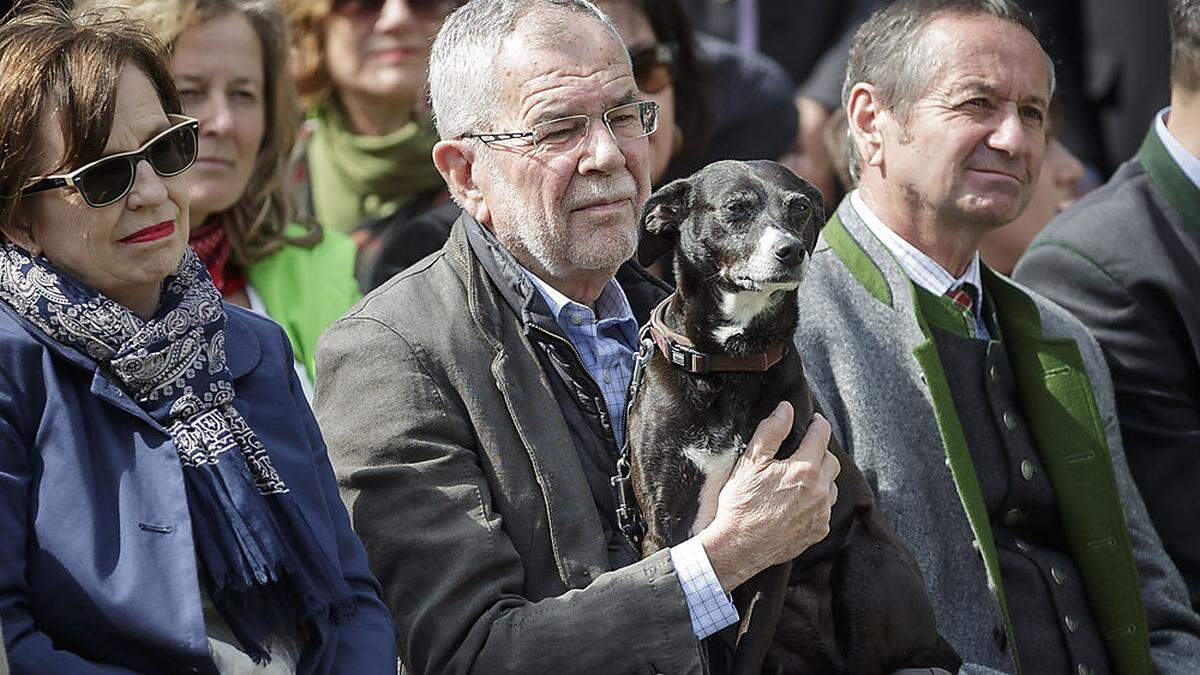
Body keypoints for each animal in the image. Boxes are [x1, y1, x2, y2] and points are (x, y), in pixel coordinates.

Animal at [628, 159, 955, 667]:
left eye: (799, 207)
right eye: (736, 208)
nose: (791, 251)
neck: (730, 364)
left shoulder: (778, 541)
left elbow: (747, 650)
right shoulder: (665, 534)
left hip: (865, 560)